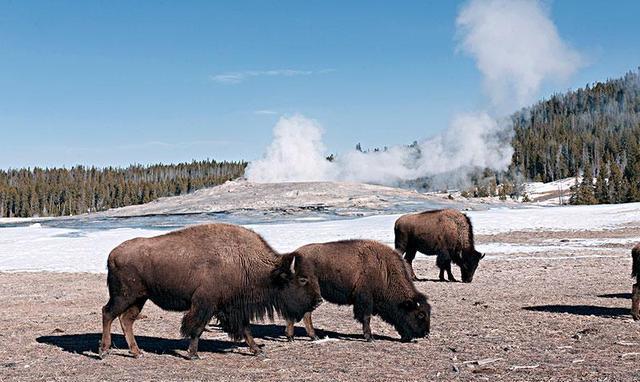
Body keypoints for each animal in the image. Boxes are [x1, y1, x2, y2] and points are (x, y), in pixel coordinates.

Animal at [98, 222, 322, 360]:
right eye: (302, 279)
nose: (318, 300)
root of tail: (112, 254)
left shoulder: (233, 307)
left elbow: (245, 329)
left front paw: (257, 350)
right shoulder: (205, 304)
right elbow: (196, 328)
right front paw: (193, 355)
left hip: (139, 299)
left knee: (126, 320)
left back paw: (137, 352)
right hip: (124, 296)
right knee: (107, 313)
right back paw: (104, 351)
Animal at [284, 240, 430, 342]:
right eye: (420, 314)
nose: (425, 334)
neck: (384, 271)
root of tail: (295, 255)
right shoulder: (365, 300)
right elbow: (366, 317)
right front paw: (370, 337)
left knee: (304, 313)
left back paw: (305, 337)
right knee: (304, 313)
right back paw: (299, 336)